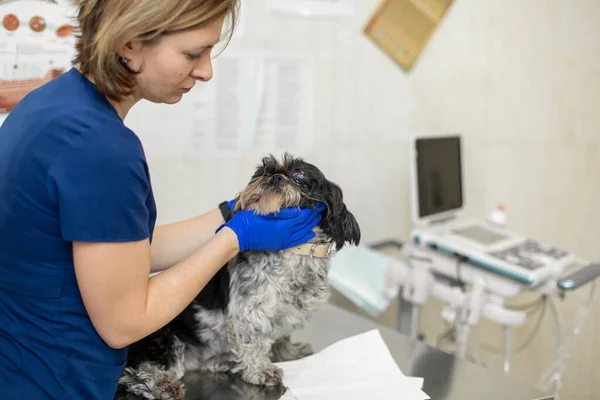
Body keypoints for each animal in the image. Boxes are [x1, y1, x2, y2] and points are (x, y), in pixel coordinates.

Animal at [117, 153, 360, 400]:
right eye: (263, 172)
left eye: (298, 176)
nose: (274, 177)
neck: (294, 255)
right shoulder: (249, 312)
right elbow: (253, 341)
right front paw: (261, 370)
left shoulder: (285, 313)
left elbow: (279, 336)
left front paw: (288, 351)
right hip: (162, 337)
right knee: (134, 372)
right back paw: (161, 384)